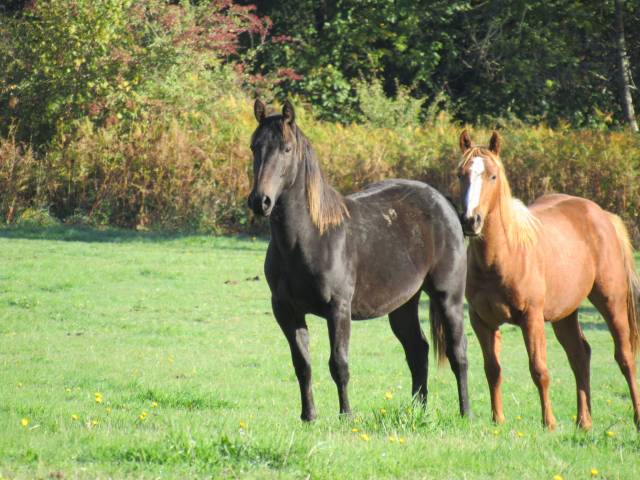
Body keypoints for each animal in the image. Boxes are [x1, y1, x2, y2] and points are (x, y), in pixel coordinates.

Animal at [247, 99, 470, 421]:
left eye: (286, 149)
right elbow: (302, 365)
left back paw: (466, 413)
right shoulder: (286, 311)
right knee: (418, 350)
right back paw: (418, 411)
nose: (259, 201)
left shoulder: (338, 308)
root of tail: (444, 204)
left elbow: (339, 364)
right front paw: (308, 416)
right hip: (404, 304)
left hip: (448, 297)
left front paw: (346, 416)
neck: (310, 237)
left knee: (458, 352)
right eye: (254, 146)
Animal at [457, 130, 640, 430]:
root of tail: (602, 215)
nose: (471, 221)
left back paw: (635, 416)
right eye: (461, 174)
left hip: (611, 301)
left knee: (624, 357)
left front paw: (549, 423)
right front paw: (498, 420)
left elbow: (539, 369)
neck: (504, 254)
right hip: (565, 313)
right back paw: (584, 421)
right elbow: (492, 370)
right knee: (580, 355)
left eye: (492, 176)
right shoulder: (481, 321)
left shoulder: (531, 317)